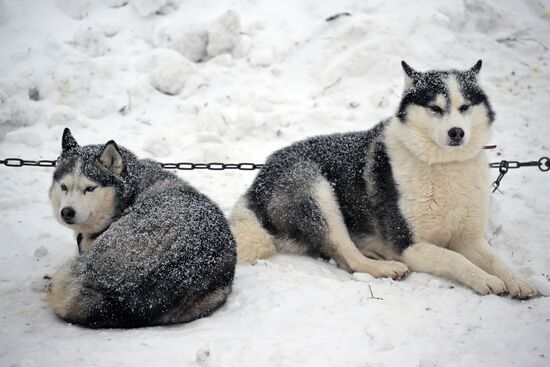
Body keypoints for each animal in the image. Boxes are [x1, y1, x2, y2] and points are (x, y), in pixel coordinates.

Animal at [232, 61, 540, 300]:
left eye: (464, 107)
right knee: (347, 256)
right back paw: (383, 267)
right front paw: (484, 279)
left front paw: (518, 281)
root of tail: (258, 180)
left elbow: (496, 260)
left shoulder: (470, 238)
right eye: (435, 108)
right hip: (314, 187)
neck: (443, 164)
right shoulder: (410, 245)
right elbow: (455, 258)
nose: (456, 132)